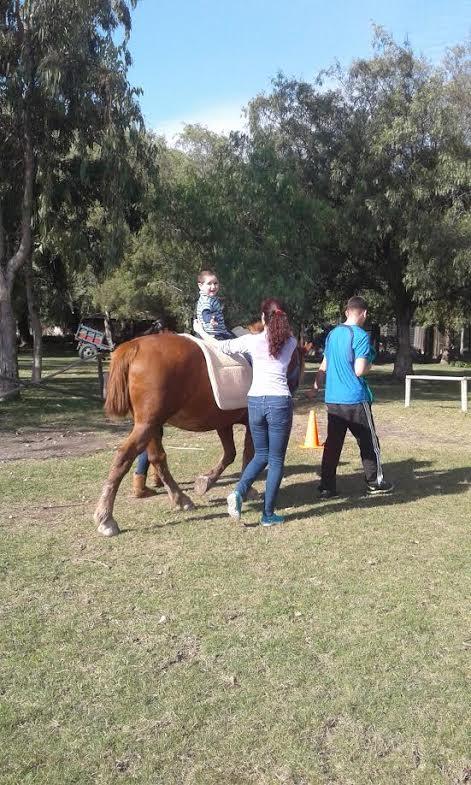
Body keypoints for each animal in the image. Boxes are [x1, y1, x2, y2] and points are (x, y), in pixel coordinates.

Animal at [95, 328, 306, 536]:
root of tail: (134, 345)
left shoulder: (223, 422)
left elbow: (230, 454)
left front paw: (206, 481)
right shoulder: (250, 421)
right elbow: (248, 455)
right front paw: (247, 490)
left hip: (151, 426)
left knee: (157, 458)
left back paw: (180, 499)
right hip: (147, 425)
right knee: (124, 456)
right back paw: (106, 518)